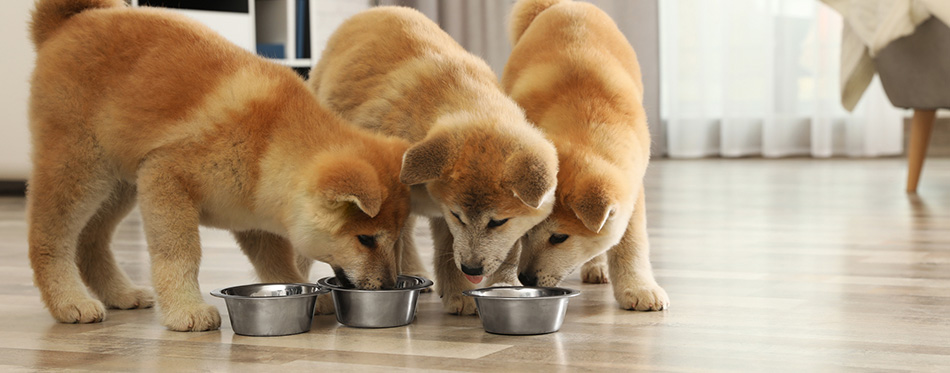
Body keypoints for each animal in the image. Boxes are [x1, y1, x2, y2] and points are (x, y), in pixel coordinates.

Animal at [28, 0, 410, 332]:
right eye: (366, 240)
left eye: (395, 240)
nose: (388, 285)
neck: (269, 143)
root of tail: (71, 21)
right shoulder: (165, 177)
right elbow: (179, 254)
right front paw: (185, 309)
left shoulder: (254, 219)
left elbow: (277, 264)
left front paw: (304, 290)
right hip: (80, 170)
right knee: (49, 239)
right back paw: (68, 301)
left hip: (121, 184)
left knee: (89, 240)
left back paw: (120, 293)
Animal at [308, 6, 560, 314]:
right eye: (457, 215)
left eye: (498, 222)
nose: (472, 268)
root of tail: (375, 10)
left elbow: (451, 247)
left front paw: (461, 293)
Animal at [502, 0, 672, 310]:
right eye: (528, 231)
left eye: (559, 237)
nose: (526, 278)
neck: (583, 128)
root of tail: (564, 4)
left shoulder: (632, 190)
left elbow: (631, 243)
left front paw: (637, 288)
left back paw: (597, 266)